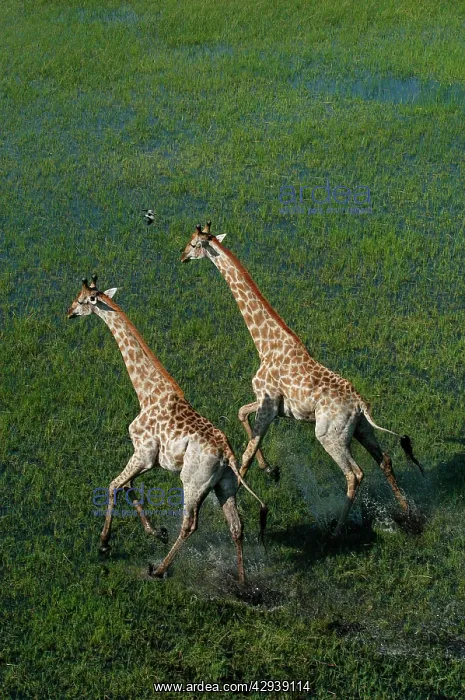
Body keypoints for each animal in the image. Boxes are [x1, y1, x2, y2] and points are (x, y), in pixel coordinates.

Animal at [67, 276, 266, 581]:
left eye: (80, 300)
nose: (69, 313)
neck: (147, 393)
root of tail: (227, 456)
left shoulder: (143, 452)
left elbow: (114, 486)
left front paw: (104, 543)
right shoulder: (148, 459)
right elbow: (128, 486)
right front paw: (155, 532)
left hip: (193, 483)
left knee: (190, 524)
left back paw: (159, 569)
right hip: (225, 485)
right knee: (236, 526)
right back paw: (243, 583)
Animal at [181, 223, 424, 535]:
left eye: (193, 243)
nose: (182, 256)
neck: (265, 343)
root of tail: (360, 405)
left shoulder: (269, 405)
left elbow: (246, 454)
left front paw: (240, 500)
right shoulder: (273, 406)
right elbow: (241, 414)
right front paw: (270, 470)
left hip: (329, 435)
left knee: (355, 474)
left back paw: (336, 531)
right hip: (360, 428)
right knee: (385, 460)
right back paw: (408, 514)